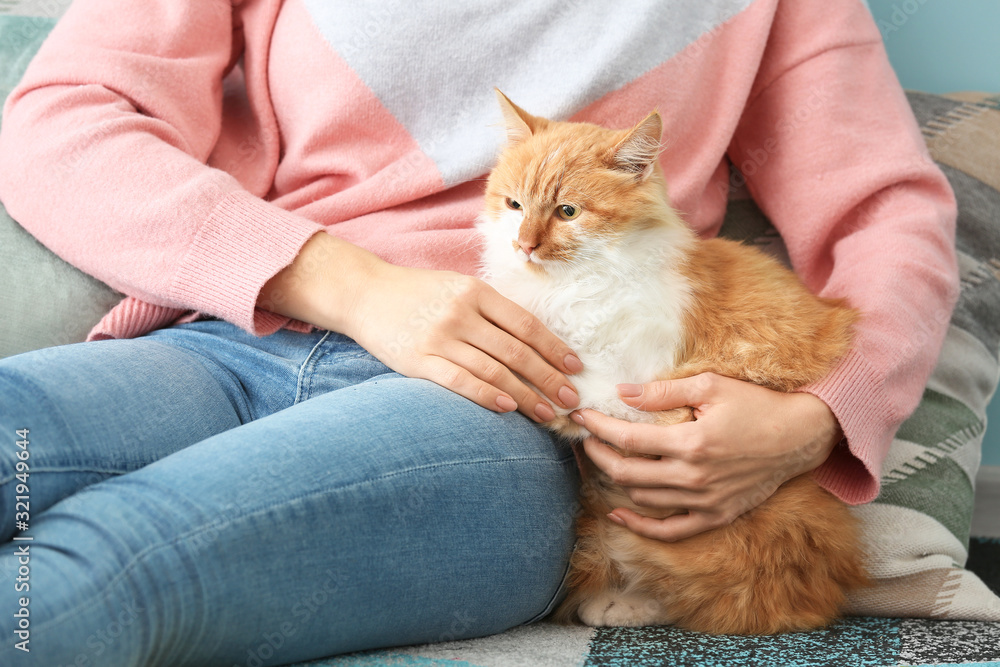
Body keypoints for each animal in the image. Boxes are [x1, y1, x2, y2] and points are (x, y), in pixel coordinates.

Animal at [478, 90, 868, 636]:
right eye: (514, 205)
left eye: (567, 211)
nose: (524, 245)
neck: (569, 286)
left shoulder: (651, 391)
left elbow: (576, 394)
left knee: (716, 594)